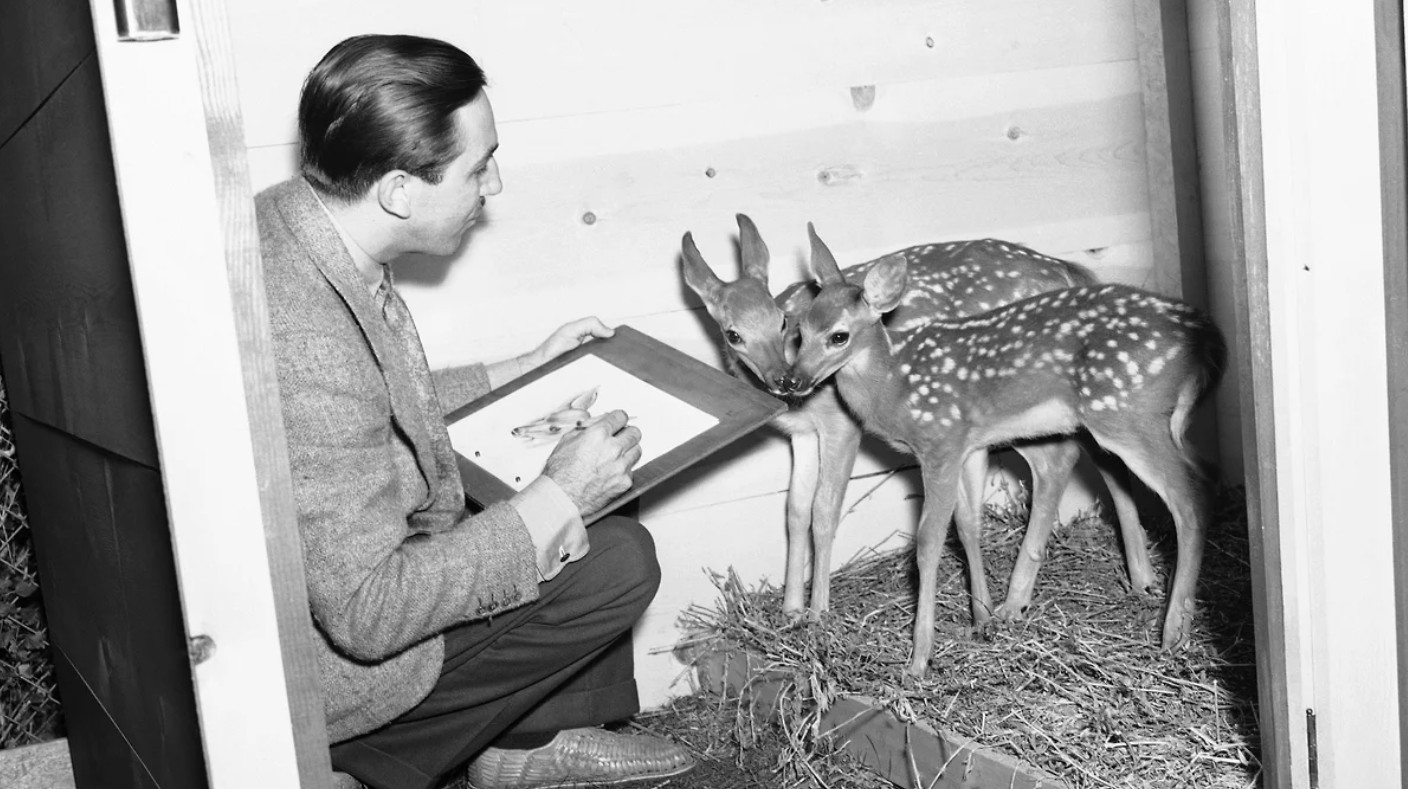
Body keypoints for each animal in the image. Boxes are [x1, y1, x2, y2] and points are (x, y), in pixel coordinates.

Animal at [681, 214, 1159, 627]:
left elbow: (823, 511)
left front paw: (817, 616)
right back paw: (1140, 580)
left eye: (783, 323)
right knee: (1108, 460)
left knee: (1059, 462)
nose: (785, 380)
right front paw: (790, 612)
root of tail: (1066, 271)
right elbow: (794, 511)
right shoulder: (800, 435)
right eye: (733, 334)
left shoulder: (840, 424)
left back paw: (1017, 602)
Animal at [783, 222, 1227, 676]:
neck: (895, 383)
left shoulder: (940, 442)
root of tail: (1210, 337)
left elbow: (927, 543)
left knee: (1188, 498)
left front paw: (919, 659)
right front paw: (978, 618)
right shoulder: (964, 447)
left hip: (1128, 413)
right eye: (799, 331)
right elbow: (964, 524)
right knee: (1204, 474)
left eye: (838, 336)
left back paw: (1172, 634)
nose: (792, 381)